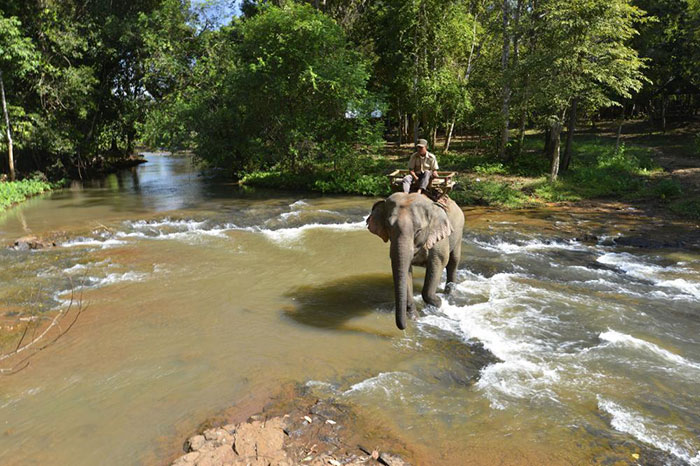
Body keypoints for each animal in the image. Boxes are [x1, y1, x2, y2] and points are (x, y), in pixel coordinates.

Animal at [366, 191, 464, 330]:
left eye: (418, 230)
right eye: (388, 227)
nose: (403, 327)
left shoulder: (439, 240)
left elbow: (439, 262)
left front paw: (439, 304)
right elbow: (406, 271)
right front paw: (414, 317)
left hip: (459, 232)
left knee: (453, 261)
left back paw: (449, 294)